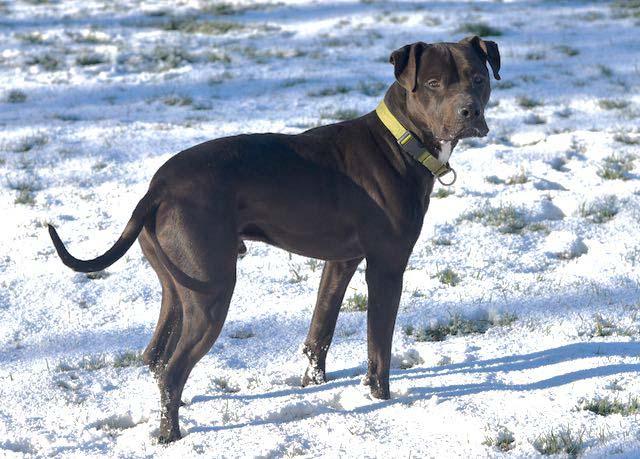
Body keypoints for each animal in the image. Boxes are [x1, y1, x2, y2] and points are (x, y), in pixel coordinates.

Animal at [48, 36, 500, 442]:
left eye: (478, 78)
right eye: (434, 83)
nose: (469, 111)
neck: (401, 142)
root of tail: (157, 188)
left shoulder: (341, 262)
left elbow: (320, 332)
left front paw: (312, 385)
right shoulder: (386, 268)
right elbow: (379, 347)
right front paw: (380, 399)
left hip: (178, 288)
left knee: (157, 358)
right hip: (212, 294)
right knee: (174, 369)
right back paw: (170, 436)